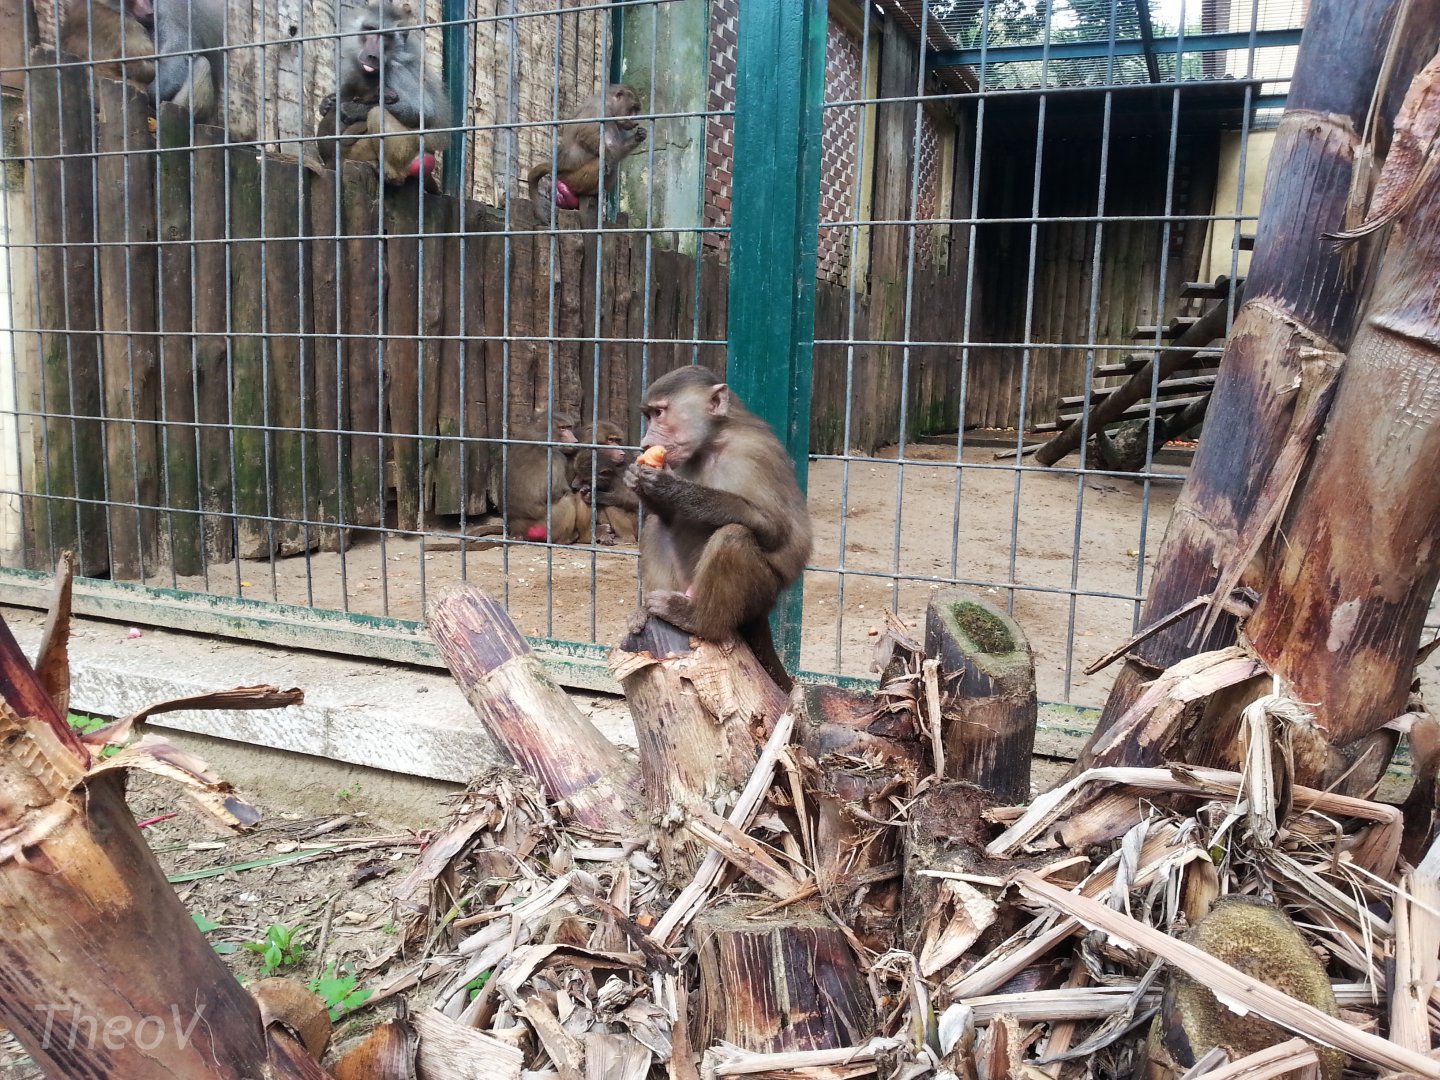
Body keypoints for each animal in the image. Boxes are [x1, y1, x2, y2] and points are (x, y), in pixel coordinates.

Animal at [314, 1, 450, 191]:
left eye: (385, 37)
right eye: (370, 30)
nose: (372, 55)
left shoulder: (399, 72)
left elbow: (422, 113)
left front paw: (353, 110)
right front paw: (327, 102)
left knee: (378, 114)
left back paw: (391, 175)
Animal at [527, 84, 647, 213]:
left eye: (637, 110)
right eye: (633, 108)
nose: (636, 122)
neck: (609, 105)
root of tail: (558, 167)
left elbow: (617, 149)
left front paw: (639, 136)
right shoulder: (597, 109)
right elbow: (586, 135)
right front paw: (608, 157)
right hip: (573, 178)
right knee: (604, 164)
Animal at [624, 367, 812, 690]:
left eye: (659, 413)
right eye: (649, 414)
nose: (645, 443)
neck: (713, 443)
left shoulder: (754, 453)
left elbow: (775, 530)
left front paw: (672, 489)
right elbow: (665, 517)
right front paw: (638, 479)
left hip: (759, 595)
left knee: (733, 537)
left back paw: (697, 619)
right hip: (687, 582)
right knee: (655, 526)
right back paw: (647, 612)